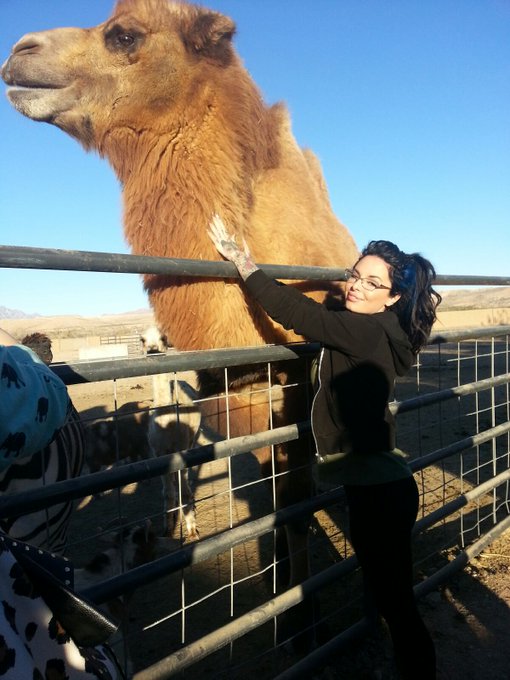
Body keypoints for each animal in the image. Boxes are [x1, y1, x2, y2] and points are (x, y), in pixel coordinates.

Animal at [2, 0, 359, 646]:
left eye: (124, 35)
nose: (19, 51)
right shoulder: (240, 399)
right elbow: (274, 497)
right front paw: (286, 600)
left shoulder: (299, 382)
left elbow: (295, 496)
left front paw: (305, 620)